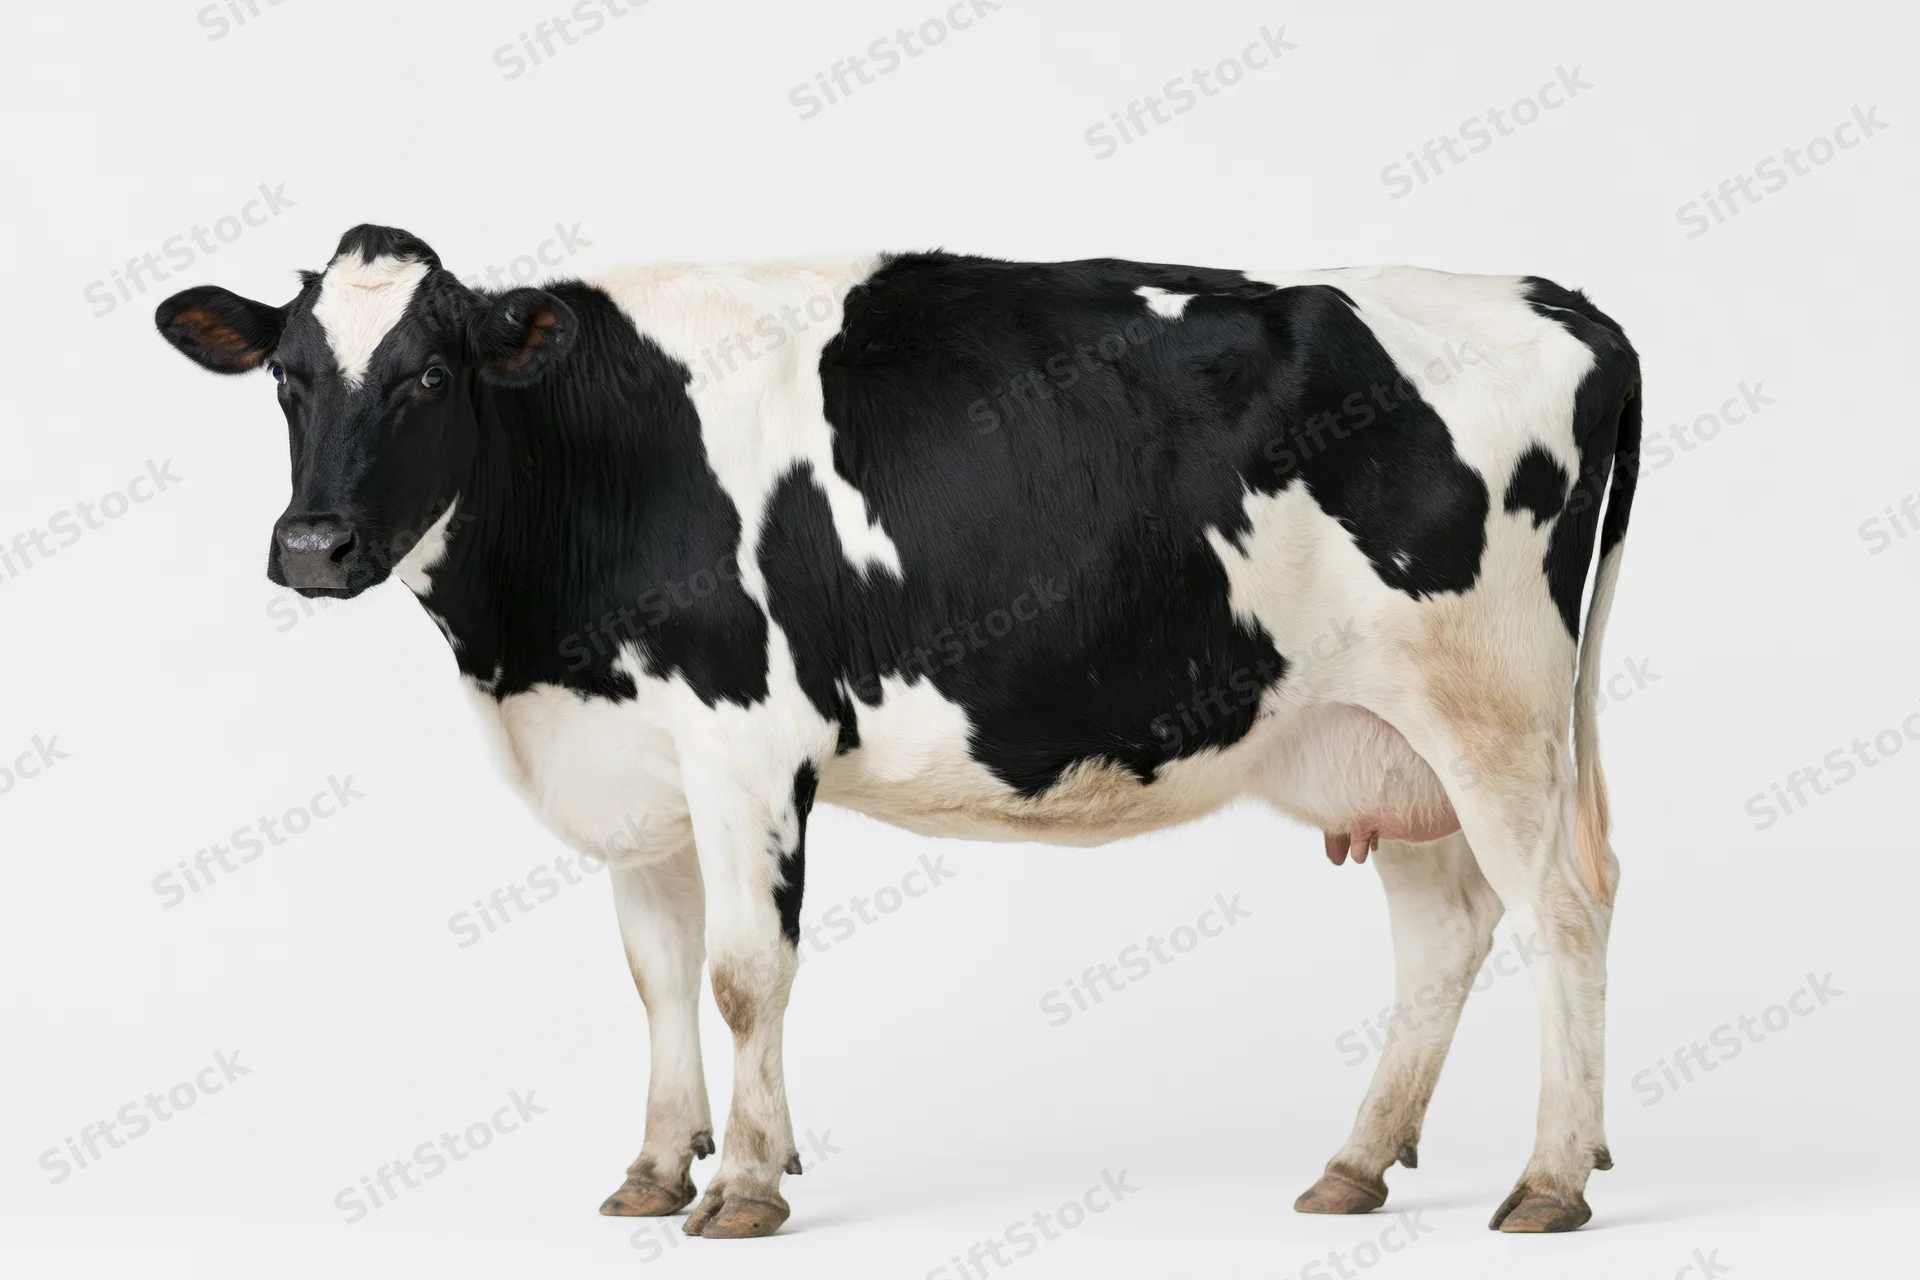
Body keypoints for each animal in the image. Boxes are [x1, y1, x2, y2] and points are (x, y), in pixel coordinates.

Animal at [155, 225, 1639, 1238]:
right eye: (288, 379)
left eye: (428, 376)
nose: (313, 545)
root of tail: (1556, 298)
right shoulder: (635, 761)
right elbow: (656, 973)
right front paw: (655, 1167)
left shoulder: (746, 735)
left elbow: (744, 974)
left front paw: (748, 1184)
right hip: (1381, 733)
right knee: (1444, 930)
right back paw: (1356, 1164)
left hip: (1495, 703)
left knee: (1564, 909)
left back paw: (1548, 1178)